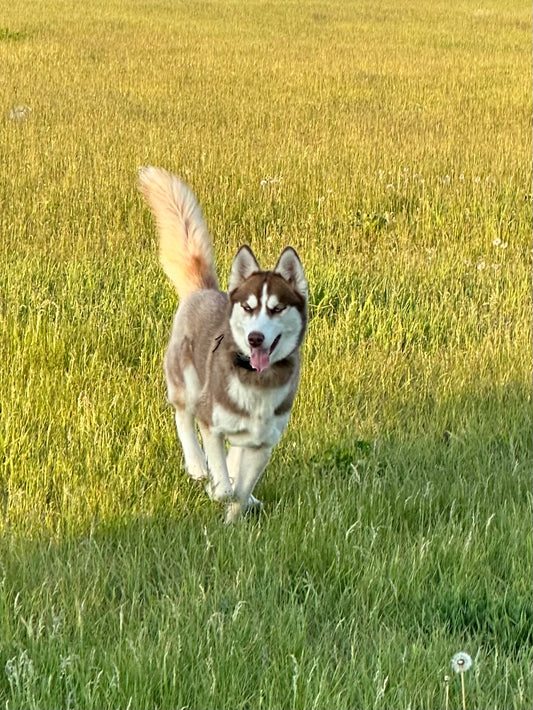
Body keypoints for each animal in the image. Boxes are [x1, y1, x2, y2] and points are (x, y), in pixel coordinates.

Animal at [137, 167, 308, 524]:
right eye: (248, 307)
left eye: (276, 308)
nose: (255, 337)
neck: (257, 383)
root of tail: (204, 290)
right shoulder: (210, 420)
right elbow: (226, 484)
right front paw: (216, 487)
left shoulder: (263, 443)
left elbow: (241, 487)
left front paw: (234, 516)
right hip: (185, 382)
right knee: (183, 417)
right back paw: (197, 466)